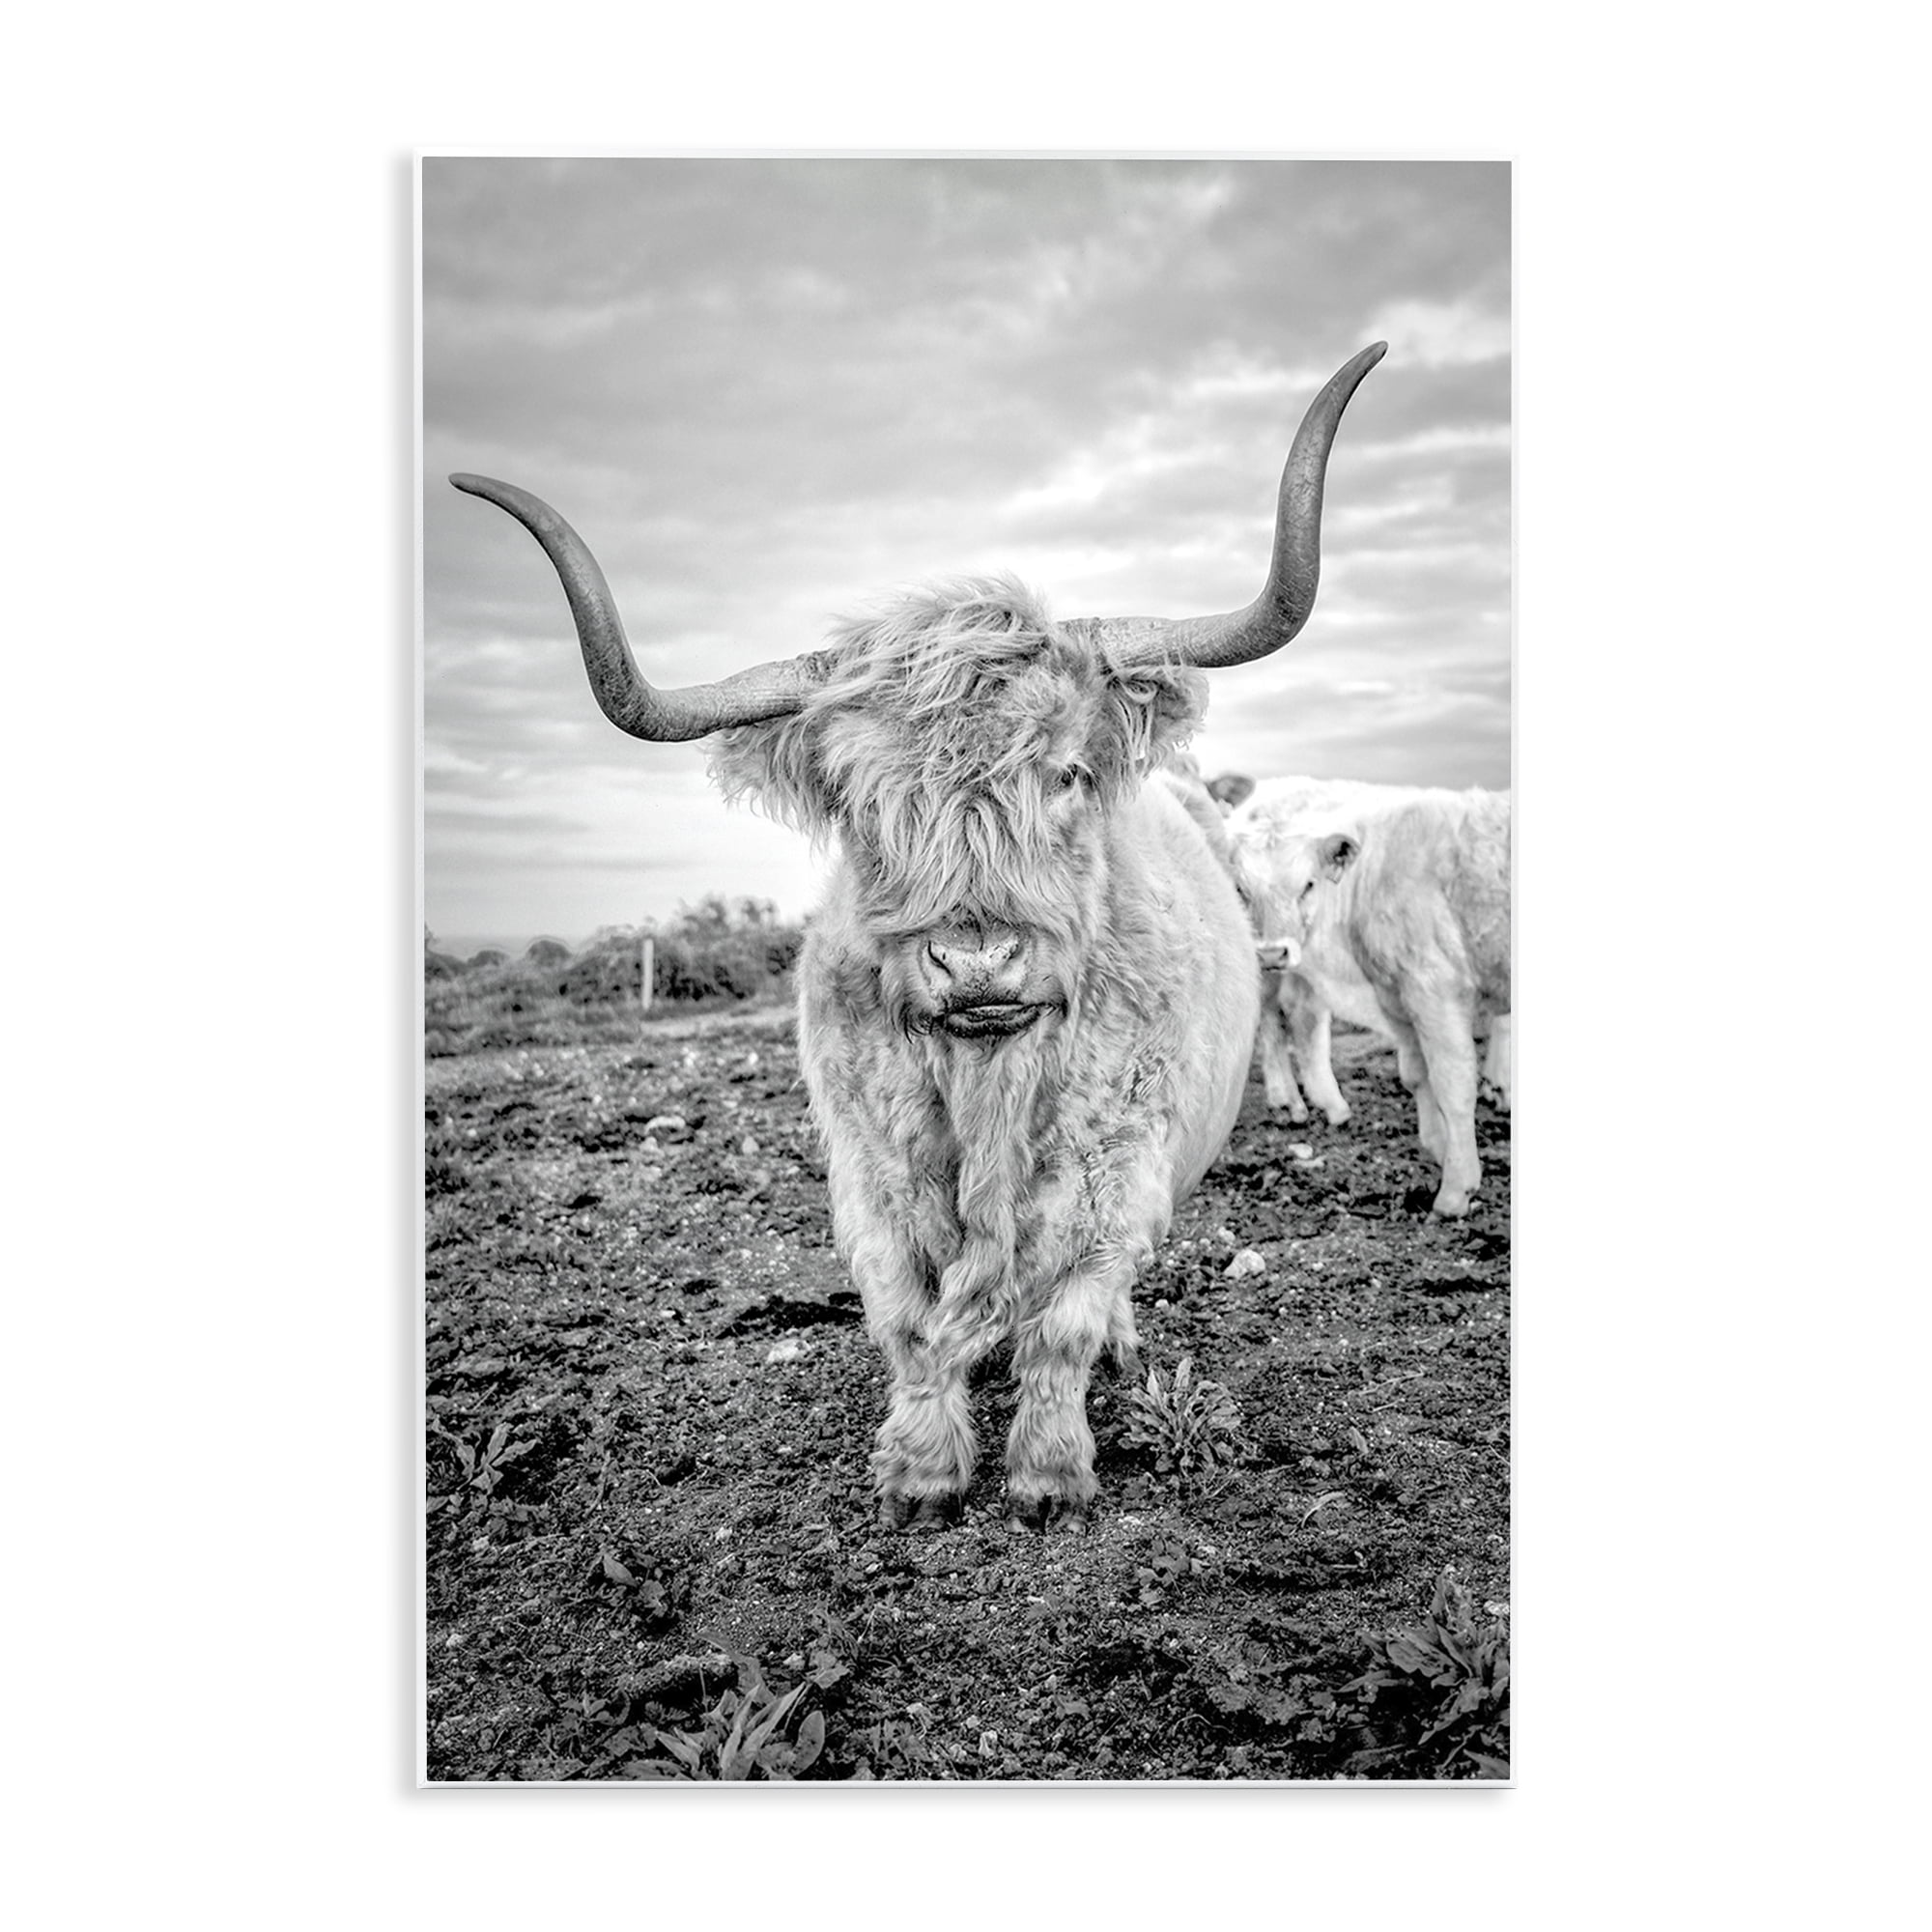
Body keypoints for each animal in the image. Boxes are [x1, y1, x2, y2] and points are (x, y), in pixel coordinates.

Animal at [451, 342, 1385, 1531]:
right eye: (860, 804)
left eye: (1065, 771)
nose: (978, 960)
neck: (987, 1082)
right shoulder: (869, 1174)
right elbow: (905, 1322)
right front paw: (922, 1472)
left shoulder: (1117, 1168)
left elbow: (1063, 1322)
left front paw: (1047, 1476)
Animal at [1235, 788, 1510, 1218]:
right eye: (1242, 890)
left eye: (1308, 884)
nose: (1270, 953)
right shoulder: (1414, 991)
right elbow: (1433, 1078)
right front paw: (1449, 1168)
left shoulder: (1424, 989)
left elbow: (1439, 1080)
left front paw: (1450, 1173)